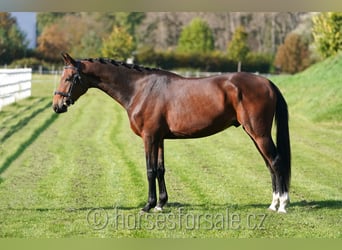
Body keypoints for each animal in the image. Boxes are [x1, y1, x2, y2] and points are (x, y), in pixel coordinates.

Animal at [52, 52, 290, 213]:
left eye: (69, 78)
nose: (57, 106)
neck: (140, 89)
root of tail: (268, 82)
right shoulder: (159, 138)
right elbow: (160, 169)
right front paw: (160, 204)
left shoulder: (149, 137)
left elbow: (149, 170)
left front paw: (148, 205)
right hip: (254, 135)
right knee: (269, 164)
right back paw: (273, 203)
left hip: (259, 134)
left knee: (276, 161)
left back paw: (282, 205)